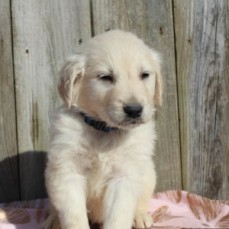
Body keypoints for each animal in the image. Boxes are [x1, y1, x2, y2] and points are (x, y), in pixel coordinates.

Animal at [44, 30, 162, 229]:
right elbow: (74, 216)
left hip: (148, 174)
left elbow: (118, 216)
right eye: (106, 77)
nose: (134, 110)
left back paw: (140, 216)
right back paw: (54, 220)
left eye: (144, 75)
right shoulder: (68, 171)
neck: (104, 130)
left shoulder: (124, 175)